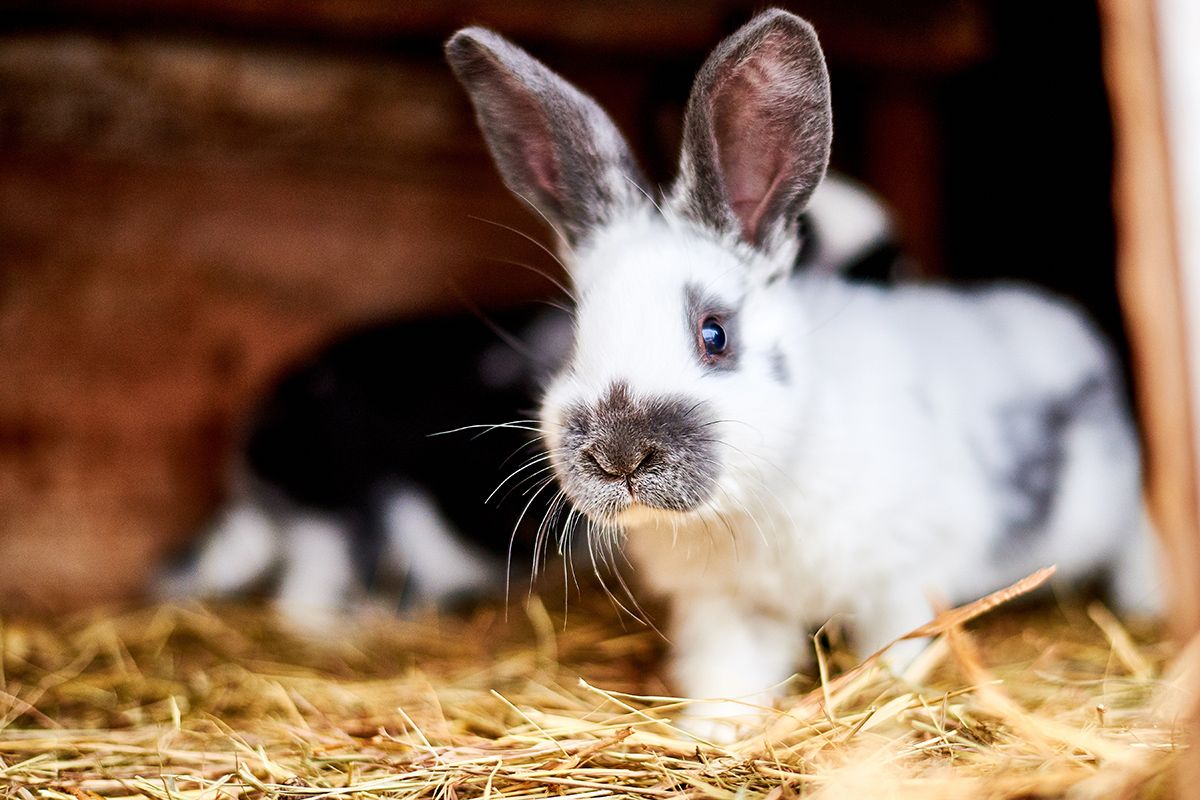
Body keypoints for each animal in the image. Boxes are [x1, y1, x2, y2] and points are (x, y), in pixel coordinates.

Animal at [445, 8, 1164, 737]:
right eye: (576, 340)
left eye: (715, 334)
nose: (620, 455)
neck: (754, 498)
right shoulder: (726, 608)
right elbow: (729, 675)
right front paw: (715, 731)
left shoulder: (901, 581)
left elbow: (893, 655)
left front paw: (883, 709)